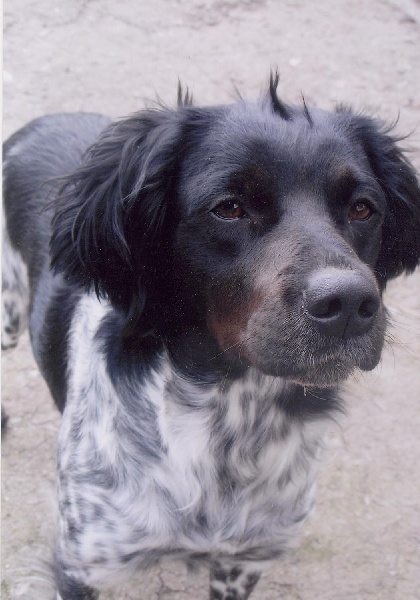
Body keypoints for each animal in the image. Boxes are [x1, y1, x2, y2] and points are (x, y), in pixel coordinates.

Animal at [2, 72, 420, 600]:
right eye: (230, 208)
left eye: (364, 209)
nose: (348, 303)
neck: (235, 422)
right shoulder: (81, 566)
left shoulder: (243, 561)